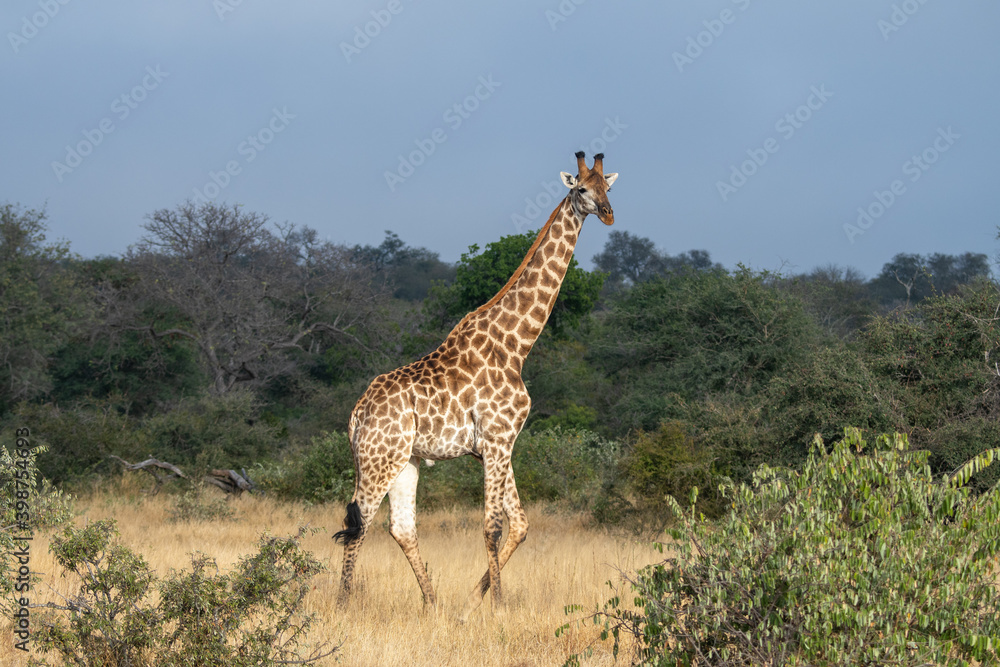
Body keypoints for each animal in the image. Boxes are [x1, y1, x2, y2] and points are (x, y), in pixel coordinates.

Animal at [336, 151, 616, 620]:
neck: (517, 345)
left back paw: (432, 604)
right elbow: (493, 526)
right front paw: (498, 607)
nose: (610, 214)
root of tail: (358, 413)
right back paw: (342, 604)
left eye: (608, 188)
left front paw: (469, 605)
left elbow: (520, 524)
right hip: (378, 460)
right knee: (358, 523)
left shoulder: (500, 444)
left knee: (401, 527)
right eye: (581, 189)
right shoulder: (498, 439)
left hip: (405, 462)